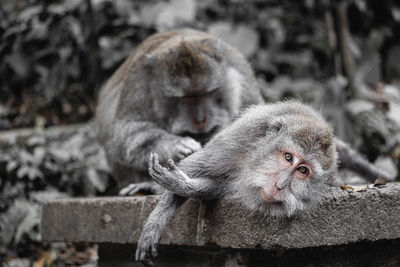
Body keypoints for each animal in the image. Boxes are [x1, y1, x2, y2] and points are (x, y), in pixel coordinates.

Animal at [136, 101, 392, 266]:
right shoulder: (236, 142)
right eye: (288, 157)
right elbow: (192, 167)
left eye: (303, 170)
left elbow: (227, 187)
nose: (280, 185)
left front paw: (188, 186)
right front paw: (155, 222)